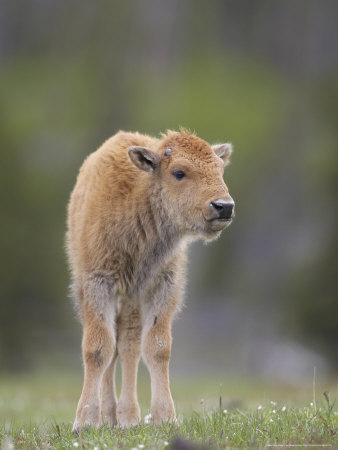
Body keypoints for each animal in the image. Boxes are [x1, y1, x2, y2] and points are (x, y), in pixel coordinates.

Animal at [66, 128, 235, 430]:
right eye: (179, 172)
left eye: (219, 169)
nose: (224, 206)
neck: (138, 197)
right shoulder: (98, 284)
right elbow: (97, 349)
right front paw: (84, 422)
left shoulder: (162, 285)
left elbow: (157, 347)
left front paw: (165, 418)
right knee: (114, 349)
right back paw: (110, 416)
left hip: (132, 300)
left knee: (128, 348)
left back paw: (126, 417)